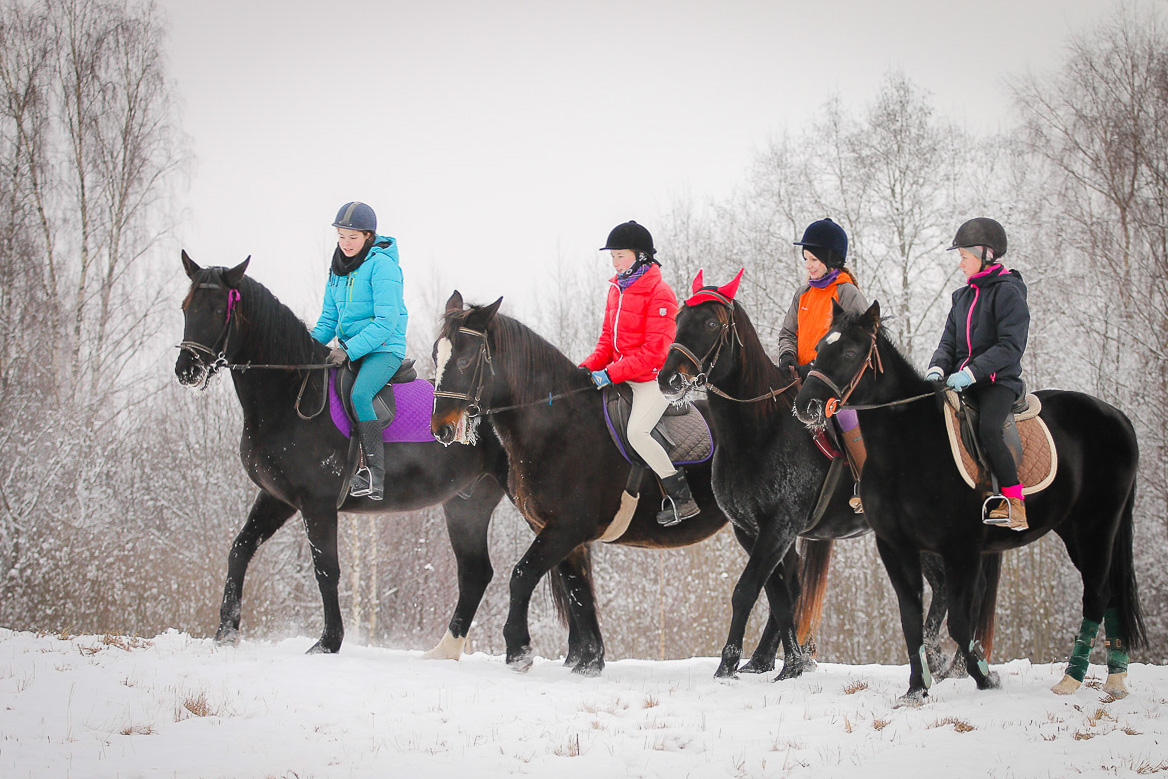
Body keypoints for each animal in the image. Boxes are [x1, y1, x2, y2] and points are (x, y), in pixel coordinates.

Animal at [172, 255, 511, 658]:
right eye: (186, 307)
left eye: (217, 309)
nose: (187, 369)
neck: (291, 396)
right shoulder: (276, 497)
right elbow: (239, 550)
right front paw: (225, 631)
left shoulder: (317, 502)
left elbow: (325, 569)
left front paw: (328, 642)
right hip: (467, 505)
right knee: (476, 573)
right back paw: (445, 652)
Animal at [425, 291, 836, 677]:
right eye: (435, 355)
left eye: (465, 361)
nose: (441, 428)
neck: (559, 425)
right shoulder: (562, 533)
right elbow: (578, 592)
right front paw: (590, 661)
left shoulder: (566, 528)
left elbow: (522, 576)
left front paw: (519, 650)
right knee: (787, 581)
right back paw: (767, 661)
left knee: (786, 582)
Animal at [789, 301, 1144, 705]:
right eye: (820, 349)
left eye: (849, 352)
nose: (805, 404)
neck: (907, 446)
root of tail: (1116, 416)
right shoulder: (896, 546)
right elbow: (911, 620)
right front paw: (917, 689)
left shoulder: (963, 548)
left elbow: (960, 623)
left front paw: (986, 677)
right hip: (1074, 528)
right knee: (1111, 592)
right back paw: (1115, 678)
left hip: (1096, 524)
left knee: (1098, 592)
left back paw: (1073, 678)